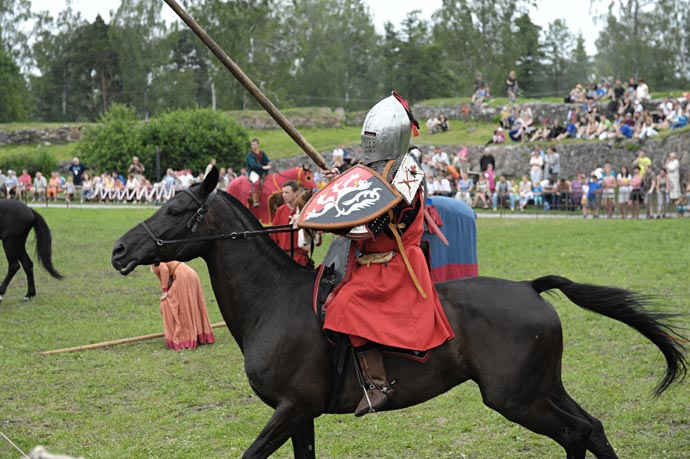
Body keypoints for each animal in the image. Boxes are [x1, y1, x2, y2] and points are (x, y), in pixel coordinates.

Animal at [110, 169, 684, 459]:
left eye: (177, 210)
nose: (119, 250)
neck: (273, 302)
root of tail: (530, 287)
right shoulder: (301, 415)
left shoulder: (291, 408)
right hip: (543, 388)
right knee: (591, 429)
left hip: (516, 398)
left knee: (576, 434)